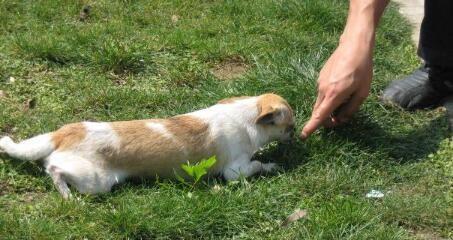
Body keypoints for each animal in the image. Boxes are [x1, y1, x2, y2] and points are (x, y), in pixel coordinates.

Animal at [0, 93, 294, 198]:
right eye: (289, 127)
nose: (295, 136)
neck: (246, 113)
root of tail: (64, 132)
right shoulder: (236, 171)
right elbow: (257, 164)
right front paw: (271, 165)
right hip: (96, 182)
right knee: (54, 170)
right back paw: (67, 196)